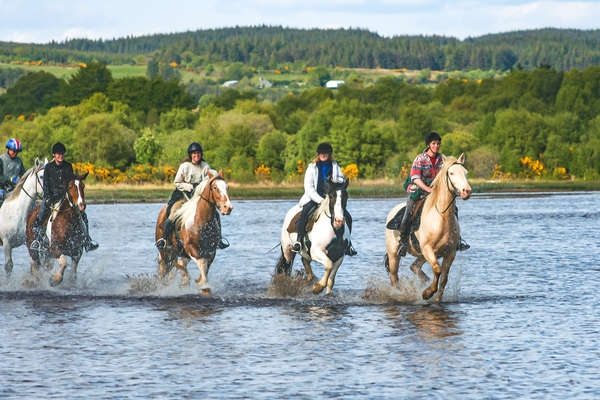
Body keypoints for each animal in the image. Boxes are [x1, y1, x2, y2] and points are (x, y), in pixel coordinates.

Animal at [384, 155, 474, 302]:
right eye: (451, 173)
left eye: (465, 172)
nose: (467, 191)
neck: (441, 217)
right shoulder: (427, 248)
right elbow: (437, 270)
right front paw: (427, 293)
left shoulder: (450, 253)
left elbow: (444, 278)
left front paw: (437, 298)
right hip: (394, 255)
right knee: (394, 277)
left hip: (421, 254)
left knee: (414, 266)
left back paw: (424, 279)